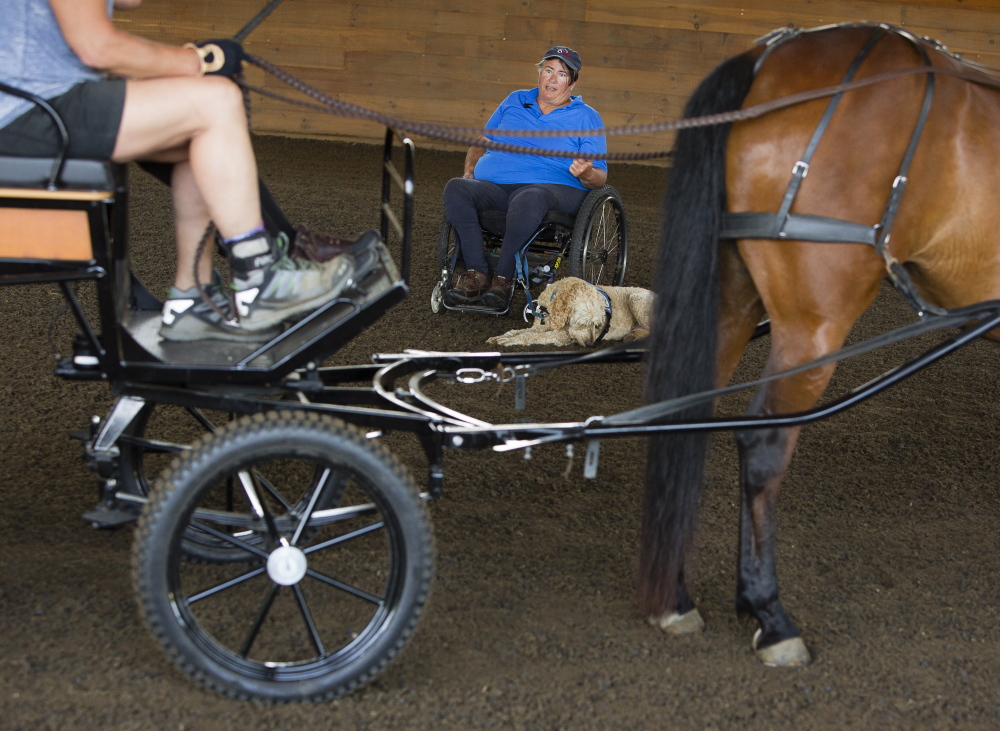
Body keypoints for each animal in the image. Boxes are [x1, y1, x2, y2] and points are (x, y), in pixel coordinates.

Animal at [486, 280, 656, 348]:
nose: (590, 344)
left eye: (597, 325)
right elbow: (520, 331)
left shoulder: (562, 335)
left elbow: (533, 336)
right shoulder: (540, 327)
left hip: (636, 298)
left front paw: (510, 340)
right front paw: (503, 336)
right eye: (582, 323)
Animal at [640, 22, 1000, 668]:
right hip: (812, 326)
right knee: (763, 445)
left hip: (729, 303)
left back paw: (674, 597)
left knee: (683, 422)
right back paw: (771, 616)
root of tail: (769, 55)